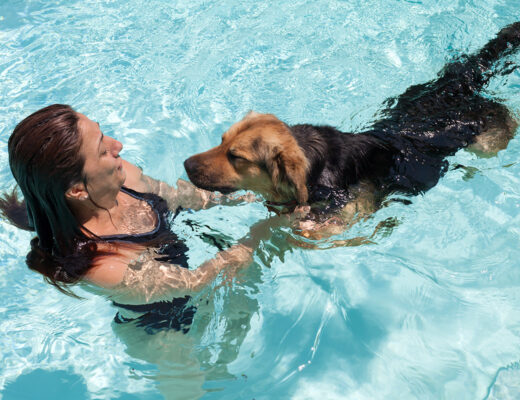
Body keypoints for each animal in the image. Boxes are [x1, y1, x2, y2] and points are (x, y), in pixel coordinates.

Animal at [185, 21, 520, 239]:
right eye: (221, 140)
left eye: (236, 156)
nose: (185, 164)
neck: (316, 167)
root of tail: (457, 85)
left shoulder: (352, 212)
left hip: (488, 138)